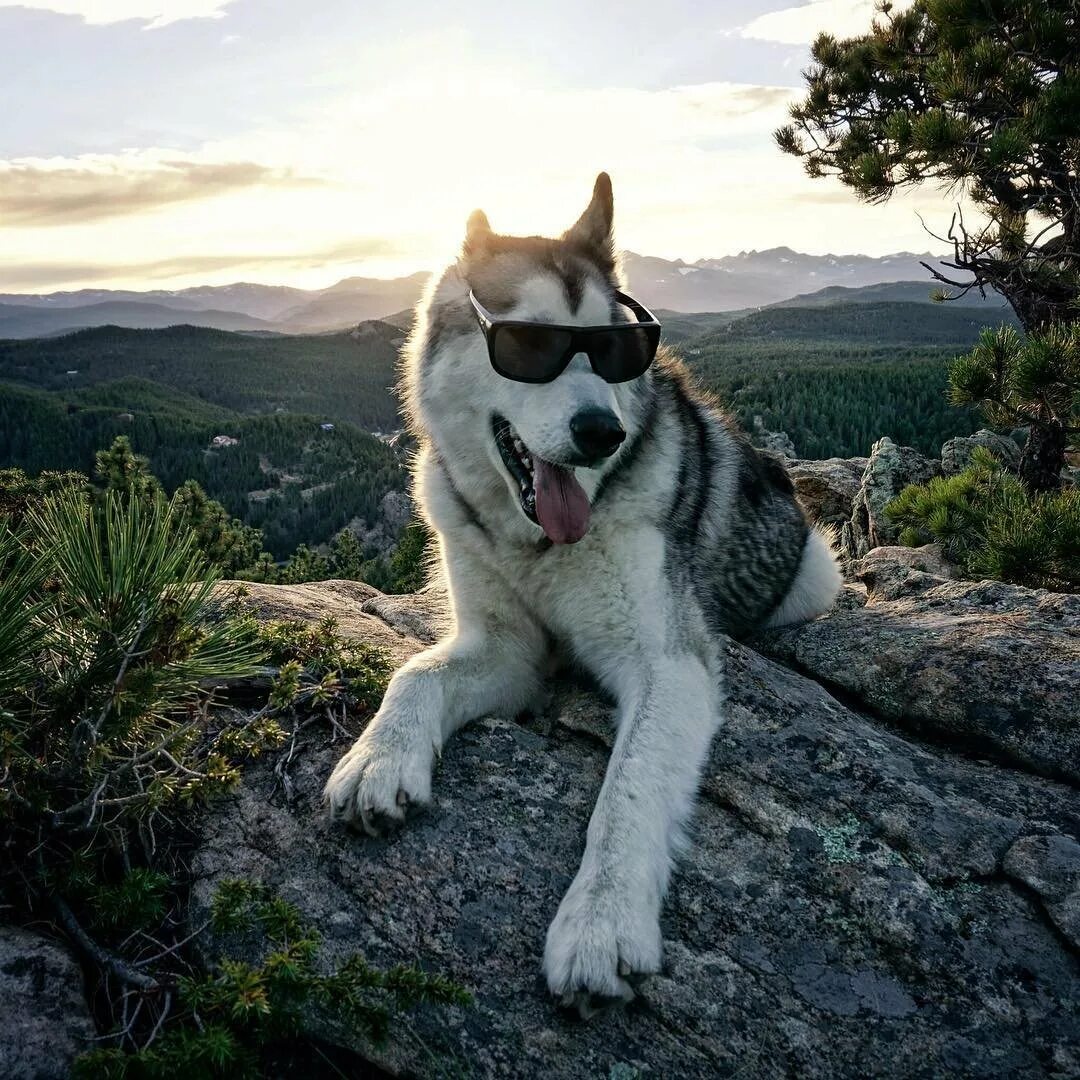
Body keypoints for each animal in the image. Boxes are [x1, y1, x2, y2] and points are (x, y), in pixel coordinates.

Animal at [324, 172, 838, 1006]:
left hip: (813, 573)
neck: (535, 542)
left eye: (615, 350)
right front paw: (381, 757)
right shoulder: (504, 649)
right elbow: (417, 675)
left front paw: (601, 922)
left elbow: (628, 788)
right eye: (530, 345)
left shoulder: (671, 665)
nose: (602, 432)